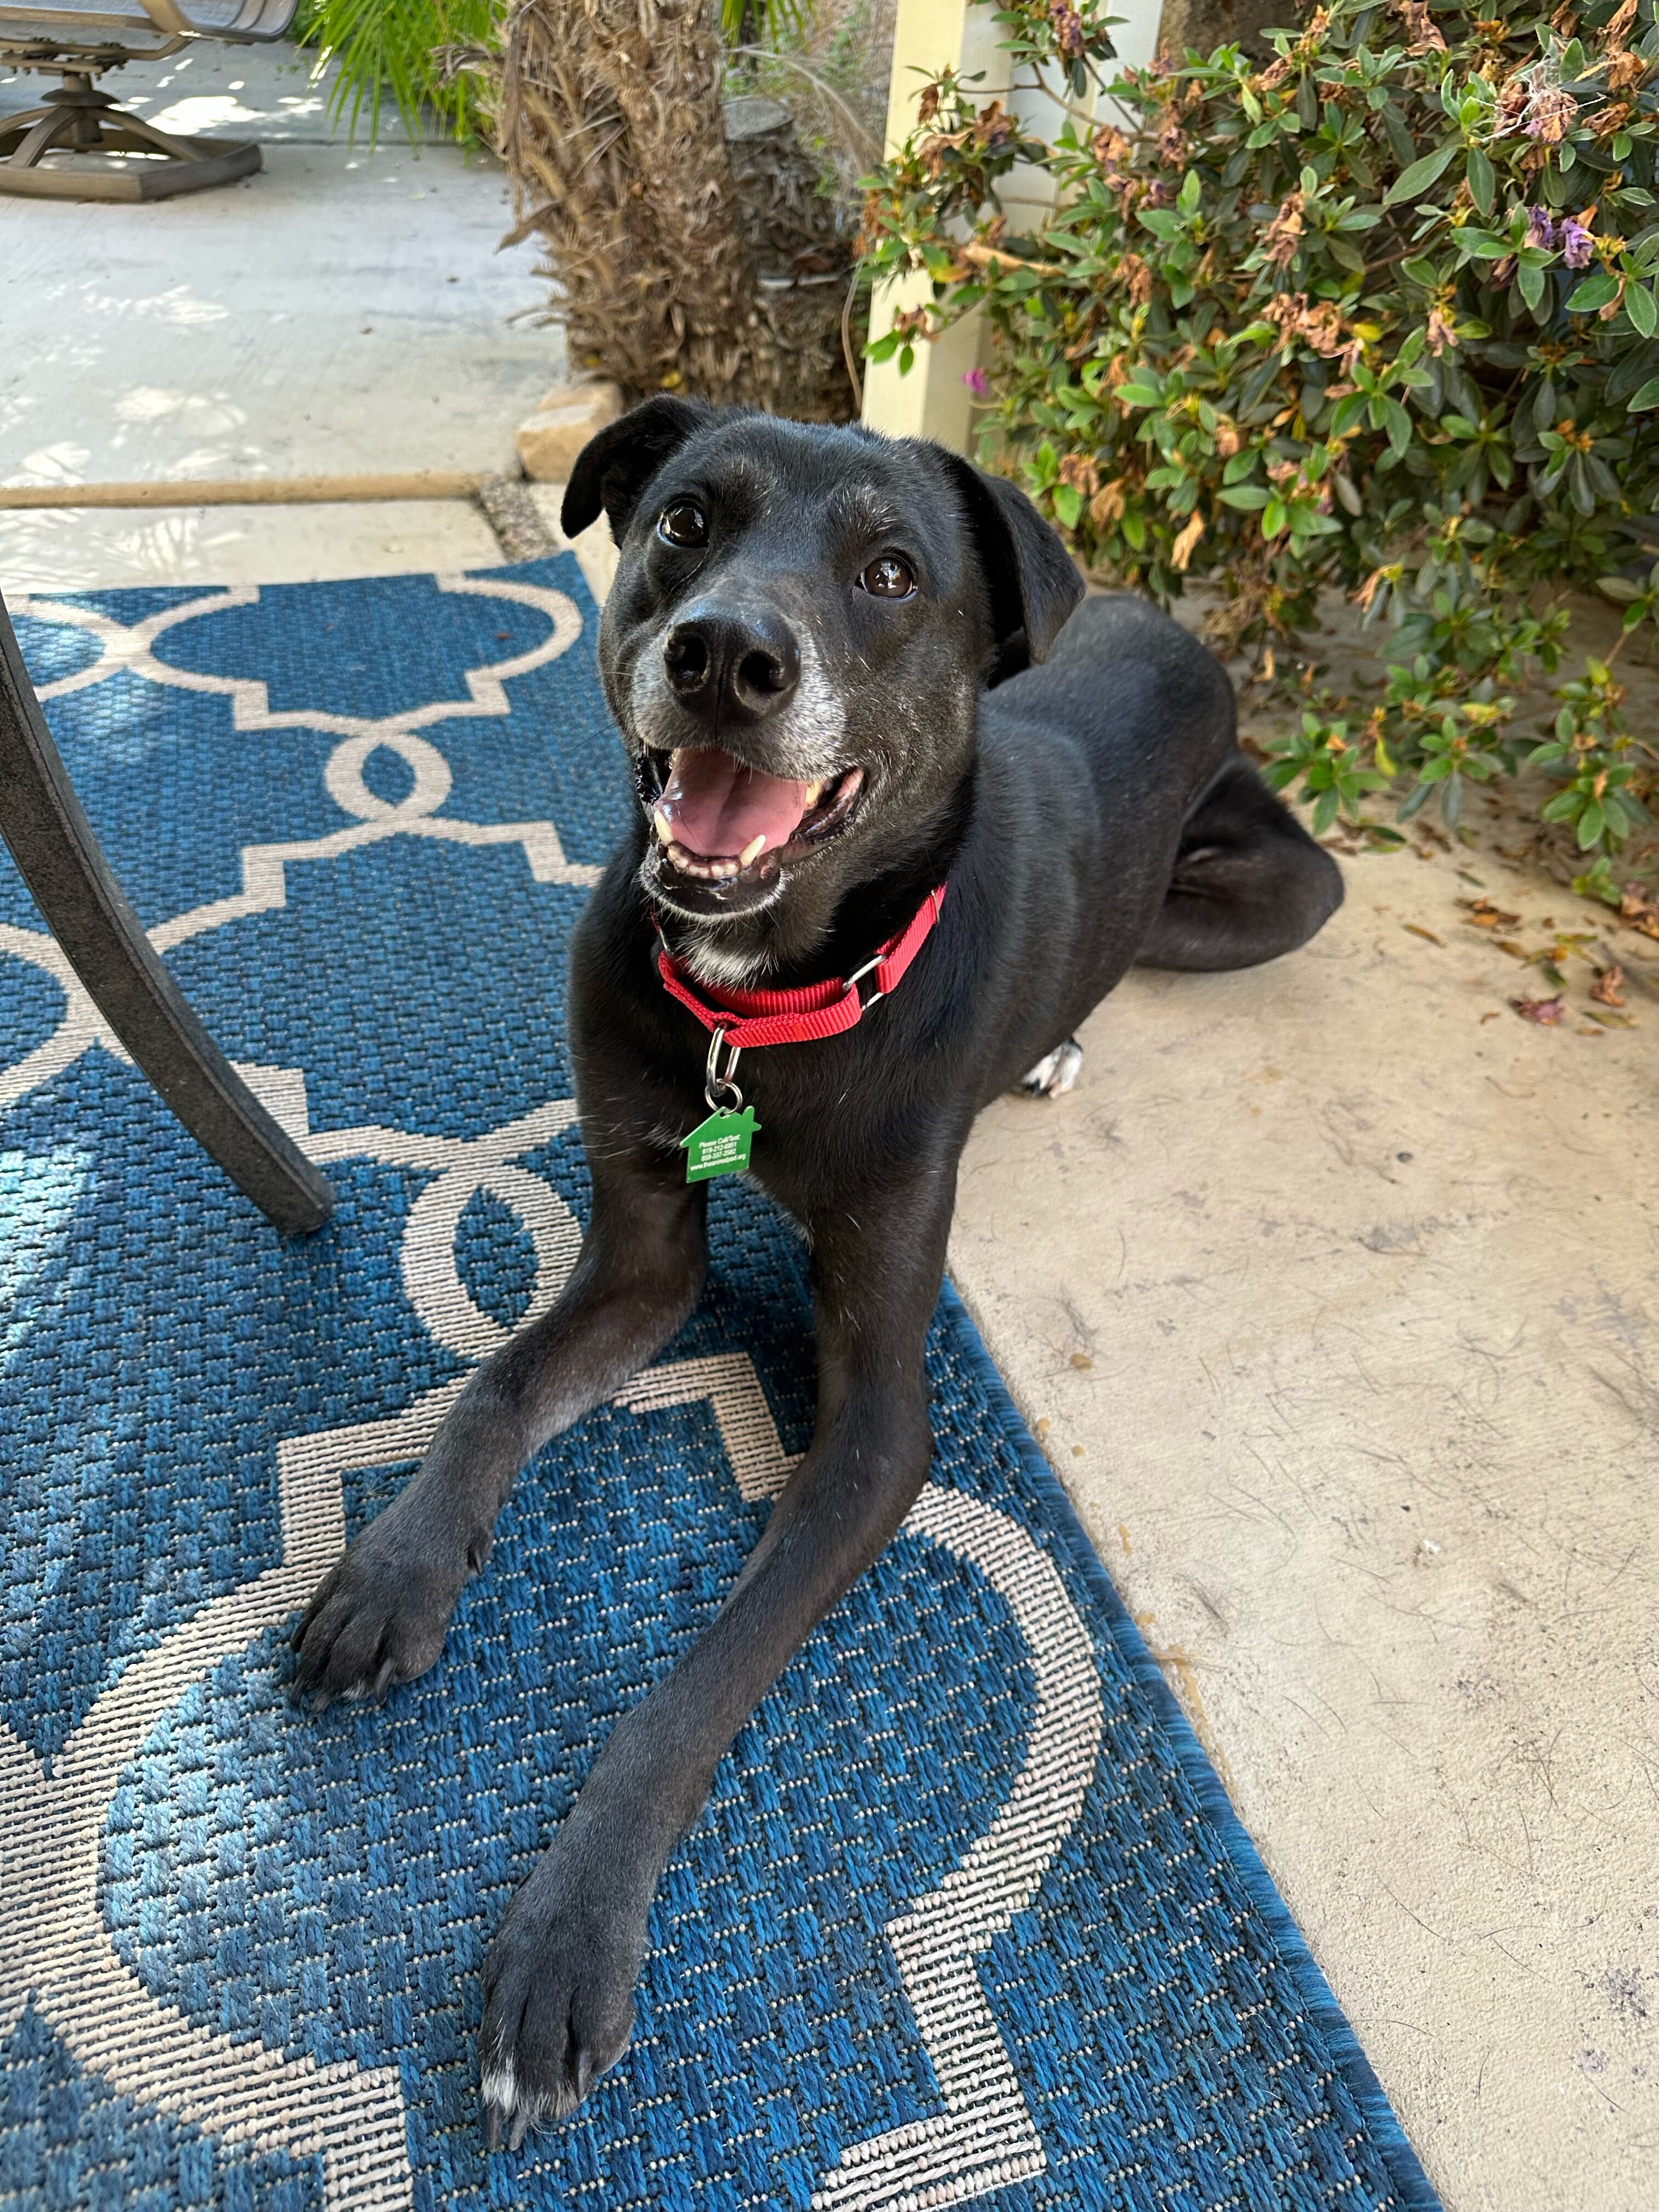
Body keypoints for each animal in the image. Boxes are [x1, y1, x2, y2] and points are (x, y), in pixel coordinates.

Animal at [292, 398, 1345, 2141]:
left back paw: (1056, 1045)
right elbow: (495, 1390)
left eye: (892, 571)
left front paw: (567, 1936)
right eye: (685, 523)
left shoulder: (880, 1434)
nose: (726, 657)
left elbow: (699, 1683)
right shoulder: (641, 1261)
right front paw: (396, 1567)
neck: (763, 1001)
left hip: (1277, 894)